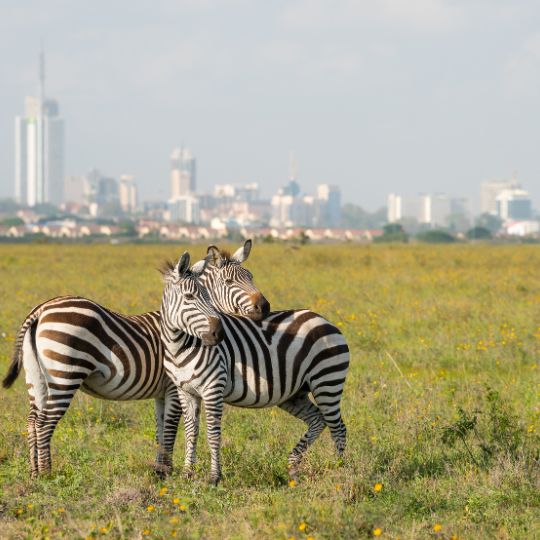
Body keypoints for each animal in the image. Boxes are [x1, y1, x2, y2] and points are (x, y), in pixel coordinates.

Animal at [1, 245, 268, 476]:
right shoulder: (173, 387)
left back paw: (34, 472)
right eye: (230, 282)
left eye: (251, 276)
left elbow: (161, 429)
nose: (264, 307)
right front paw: (166, 471)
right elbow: (171, 427)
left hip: (36, 377)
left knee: (32, 421)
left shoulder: (162, 392)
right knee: (45, 423)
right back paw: (47, 474)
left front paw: (160, 470)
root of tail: (41, 310)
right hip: (64, 375)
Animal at [160, 247, 350, 484]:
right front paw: (187, 474)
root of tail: (324, 320)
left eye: (206, 296)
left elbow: (213, 433)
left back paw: (341, 472)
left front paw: (214, 477)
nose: (218, 334)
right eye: (189, 297)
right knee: (318, 420)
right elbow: (190, 432)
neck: (180, 347)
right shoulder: (185, 391)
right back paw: (293, 467)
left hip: (327, 382)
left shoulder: (213, 388)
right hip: (294, 393)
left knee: (338, 427)